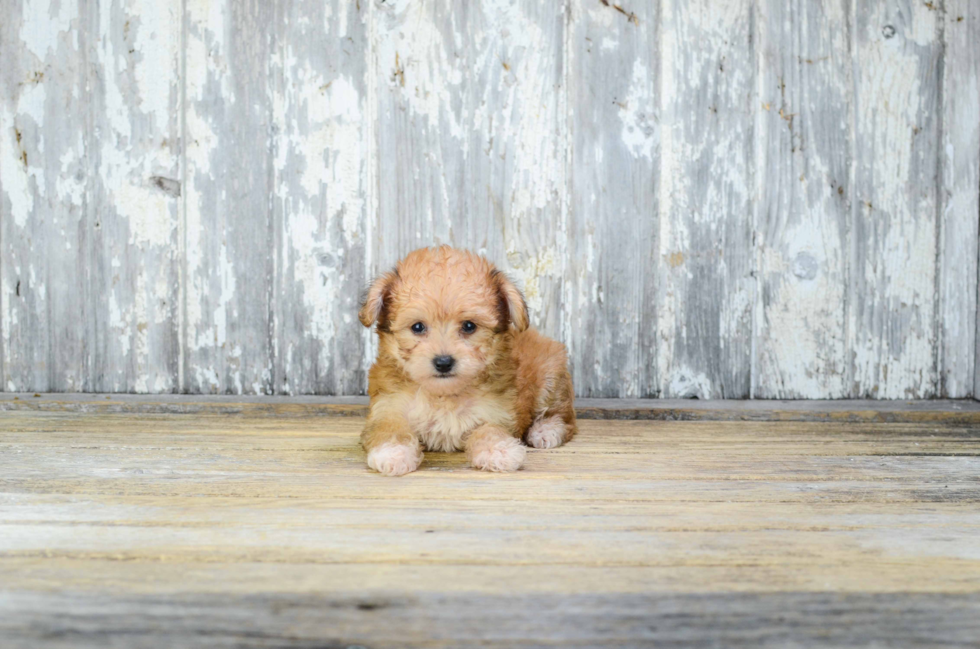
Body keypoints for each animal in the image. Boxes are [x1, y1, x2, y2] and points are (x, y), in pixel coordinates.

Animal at [358, 246, 576, 474]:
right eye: (417, 327)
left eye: (469, 326)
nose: (443, 362)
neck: (443, 395)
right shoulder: (387, 407)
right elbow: (389, 428)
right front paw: (393, 452)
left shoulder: (497, 412)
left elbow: (490, 430)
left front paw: (499, 450)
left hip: (551, 376)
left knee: (563, 416)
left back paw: (545, 431)